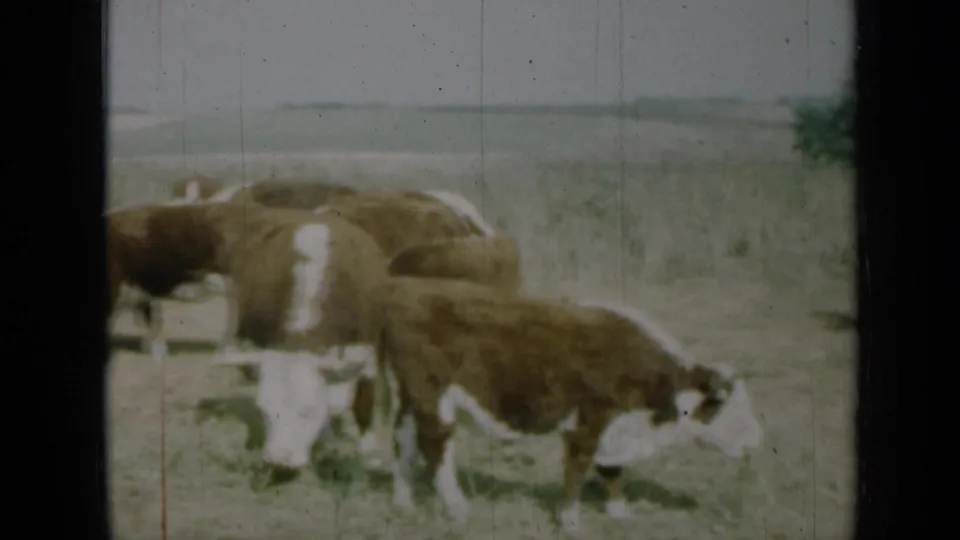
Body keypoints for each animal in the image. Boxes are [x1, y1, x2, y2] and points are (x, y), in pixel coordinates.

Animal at [362, 277, 764, 533]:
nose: (757, 440)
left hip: (411, 396)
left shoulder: (614, 428)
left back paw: (403, 501)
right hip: (432, 394)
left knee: (403, 440)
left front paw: (619, 511)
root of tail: (401, 290)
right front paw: (570, 519)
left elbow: (611, 469)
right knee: (436, 445)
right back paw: (456, 506)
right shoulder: (590, 418)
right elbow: (579, 466)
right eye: (725, 406)